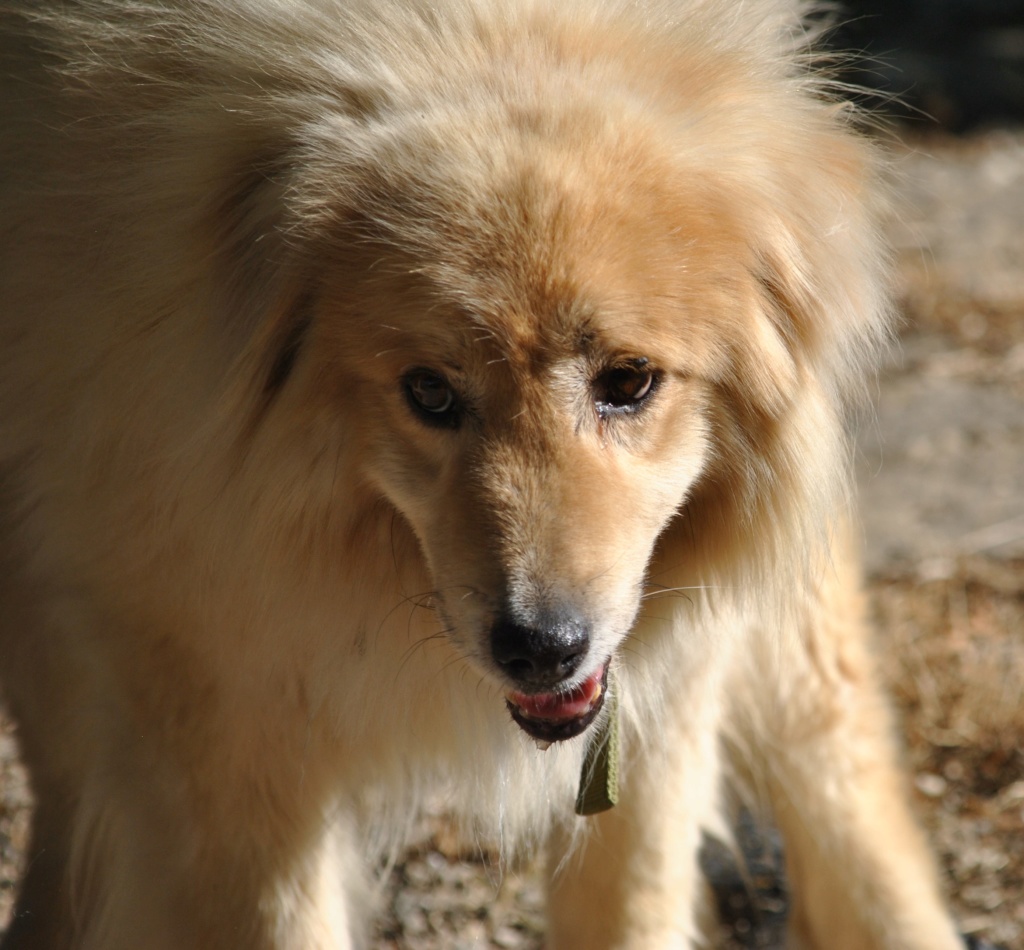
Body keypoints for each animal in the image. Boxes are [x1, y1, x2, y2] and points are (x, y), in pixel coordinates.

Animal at [0, 1, 962, 950]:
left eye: (629, 382)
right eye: (429, 392)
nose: (542, 647)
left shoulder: (664, 697)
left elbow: (632, 905)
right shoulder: (221, 739)